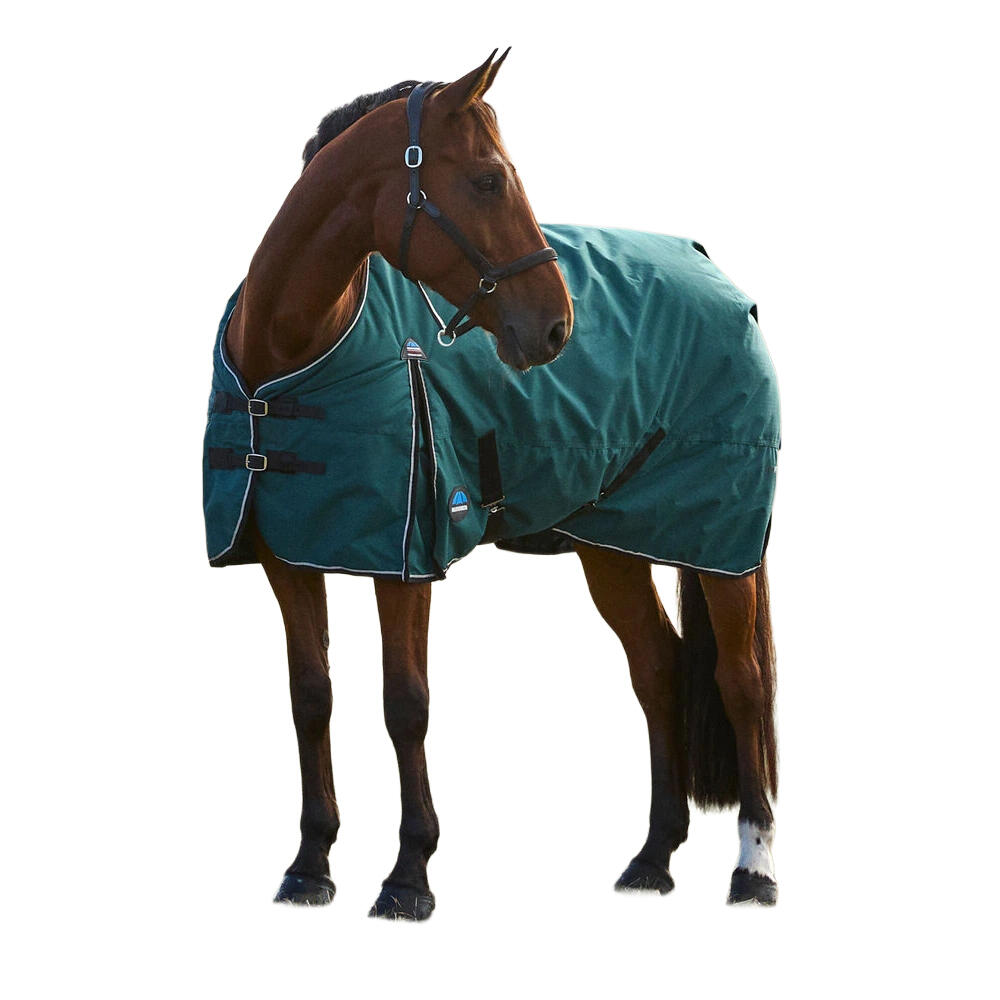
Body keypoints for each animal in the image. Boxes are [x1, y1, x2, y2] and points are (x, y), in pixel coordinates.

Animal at [205, 50, 779, 919]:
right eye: (485, 180)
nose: (556, 327)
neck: (294, 349)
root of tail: (716, 272)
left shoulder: (406, 560)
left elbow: (405, 704)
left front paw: (408, 875)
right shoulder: (288, 557)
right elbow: (312, 698)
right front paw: (310, 864)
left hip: (721, 543)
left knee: (740, 683)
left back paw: (754, 868)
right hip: (613, 544)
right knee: (658, 669)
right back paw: (652, 858)